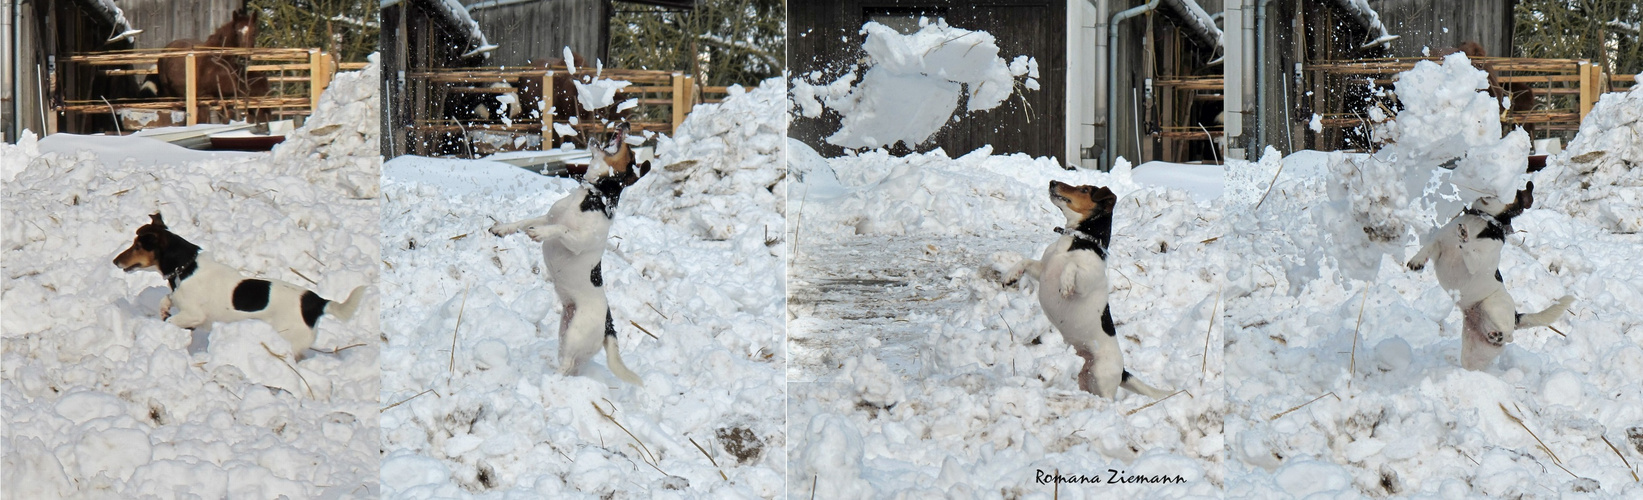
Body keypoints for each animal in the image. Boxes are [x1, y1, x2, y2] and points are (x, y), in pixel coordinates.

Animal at [112, 212, 363, 358]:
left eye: (137, 245)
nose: (115, 261)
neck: (186, 267)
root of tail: (316, 302)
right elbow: (167, 300)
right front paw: (164, 309)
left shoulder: (194, 315)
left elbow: (172, 321)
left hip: (289, 339)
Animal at [486, 121, 647, 386]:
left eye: (631, 153)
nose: (625, 123)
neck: (592, 195)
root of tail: (608, 325)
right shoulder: (546, 216)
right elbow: (525, 222)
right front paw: (502, 228)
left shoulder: (578, 240)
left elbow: (560, 229)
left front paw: (541, 234)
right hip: (566, 332)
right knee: (570, 364)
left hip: (575, 334)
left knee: (568, 364)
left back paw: (549, 382)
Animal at [998, 180, 1169, 398]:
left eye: (1084, 190)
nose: (1052, 182)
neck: (1076, 239)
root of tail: (1122, 370)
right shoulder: (1043, 271)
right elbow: (1026, 261)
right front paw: (1011, 274)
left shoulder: (1085, 283)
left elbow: (1072, 266)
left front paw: (1065, 283)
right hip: (1086, 379)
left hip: (1101, 375)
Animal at [1406, 181, 1570, 368]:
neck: (1482, 220)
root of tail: (1516, 317)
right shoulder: (1439, 244)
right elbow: (1427, 247)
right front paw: (1417, 260)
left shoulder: (1476, 265)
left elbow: (1469, 251)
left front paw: (1465, 237)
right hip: (1473, 354)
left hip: (1491, 306)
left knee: (1510, 336)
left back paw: (1499, 335)